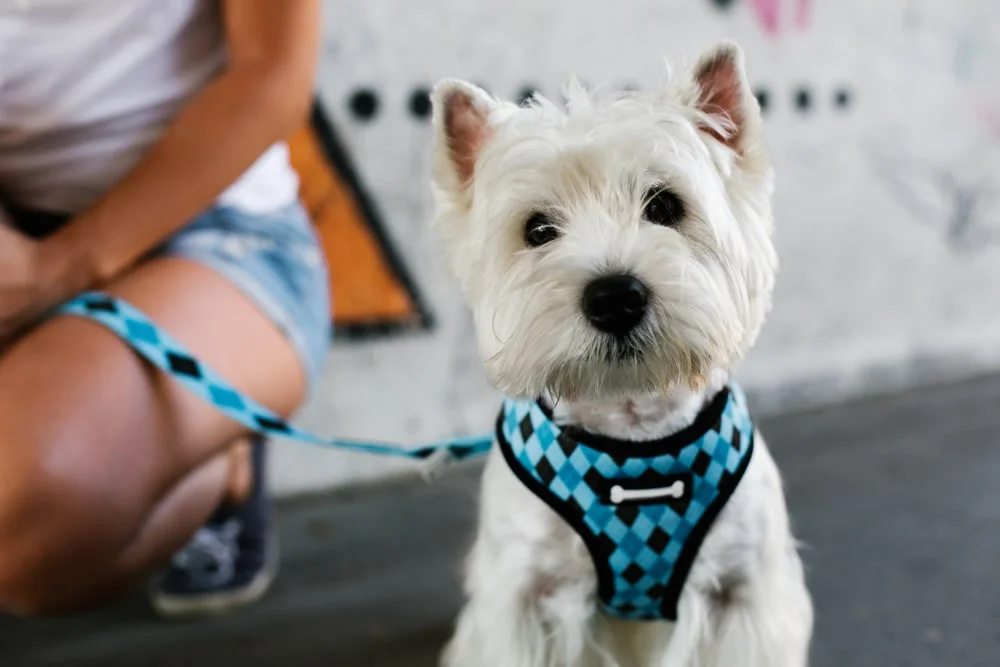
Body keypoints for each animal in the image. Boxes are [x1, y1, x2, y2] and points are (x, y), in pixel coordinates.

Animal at [430, 41, 812, 667]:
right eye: (538, 229)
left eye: (665, 206)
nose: (614, 298)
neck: (634, 431)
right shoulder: (523, 601)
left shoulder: (744, 593)